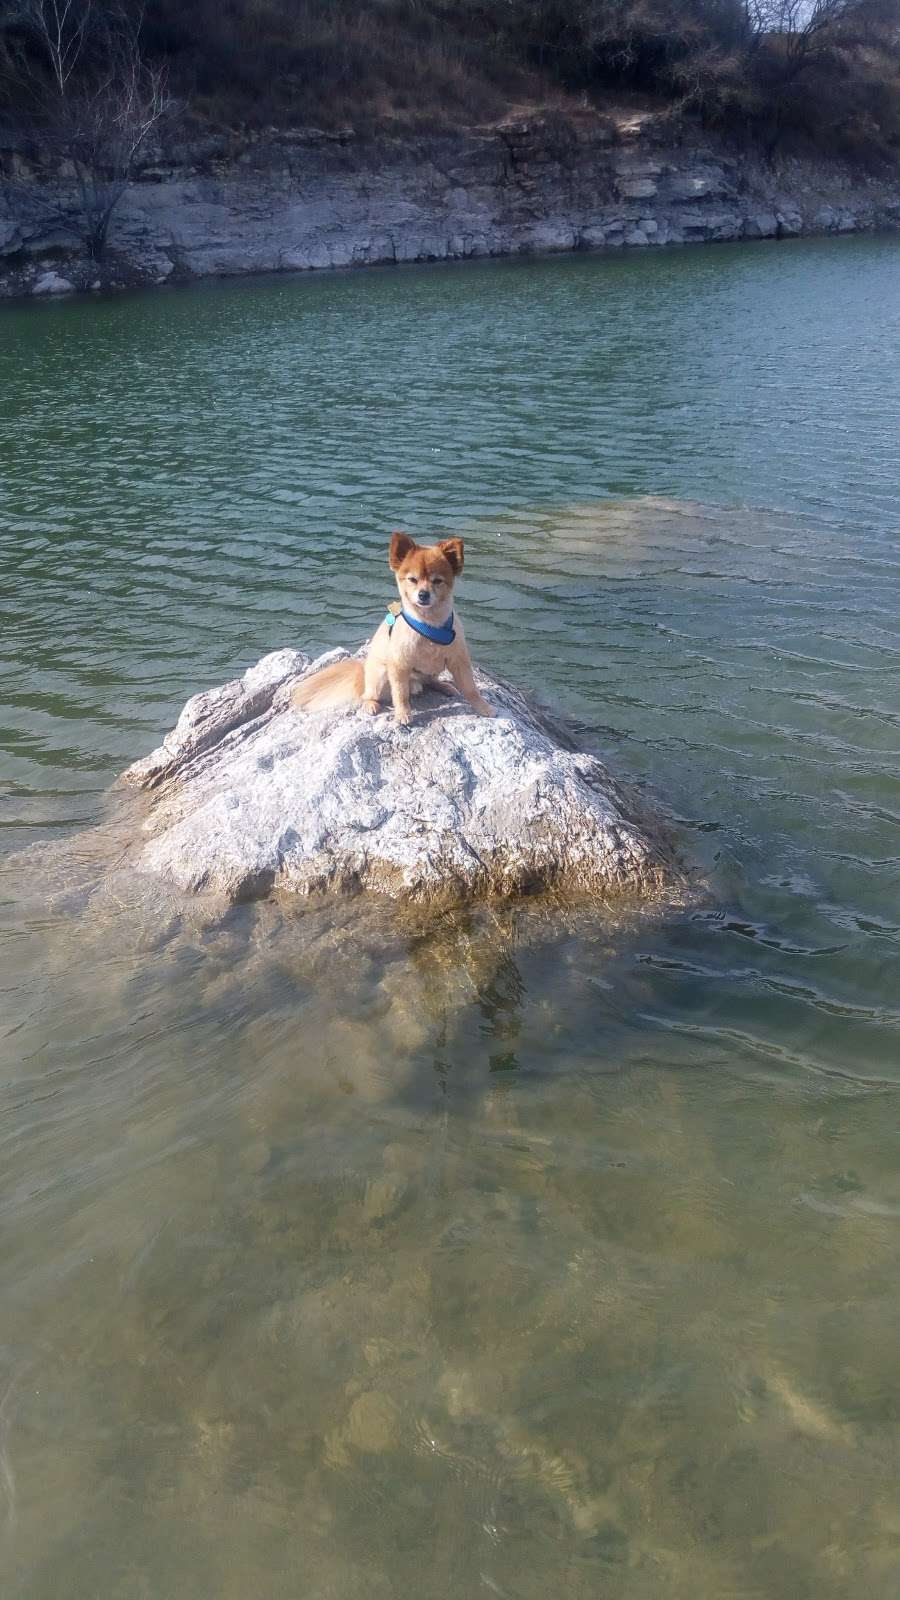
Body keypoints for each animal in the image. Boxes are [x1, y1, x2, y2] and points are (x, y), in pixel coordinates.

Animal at [291, 531, 493, 726]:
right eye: (413, 579)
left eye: (437, 581)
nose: (423, 594)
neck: (429, 625)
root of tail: (363, 668)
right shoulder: (399, 665)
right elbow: (401, 694)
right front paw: (403, 714)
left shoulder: (458, 659)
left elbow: (470, 688)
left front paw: (483, 707)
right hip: (379, 675)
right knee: (368, 694)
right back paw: (371, 704)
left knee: (431, 681)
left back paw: (444, 686)